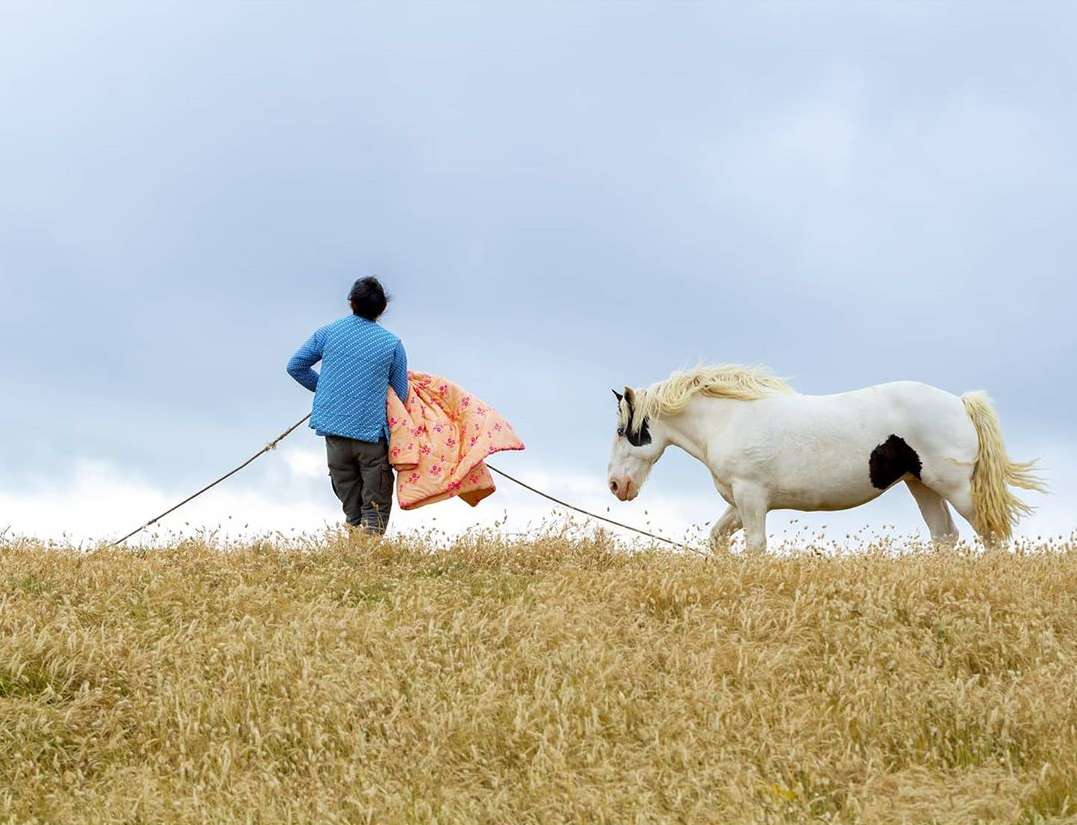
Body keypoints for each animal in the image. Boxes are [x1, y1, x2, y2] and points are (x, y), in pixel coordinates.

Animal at [606, 365, 1045, 552]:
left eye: (622, 431)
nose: (615, 485)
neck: (729, 419)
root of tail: (960, 403)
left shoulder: (751, 498)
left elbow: (756, 547)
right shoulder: (739, 502)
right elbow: (717, 540)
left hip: (954, 486)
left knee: (990, 532)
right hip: (922, 486)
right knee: (945, 537)